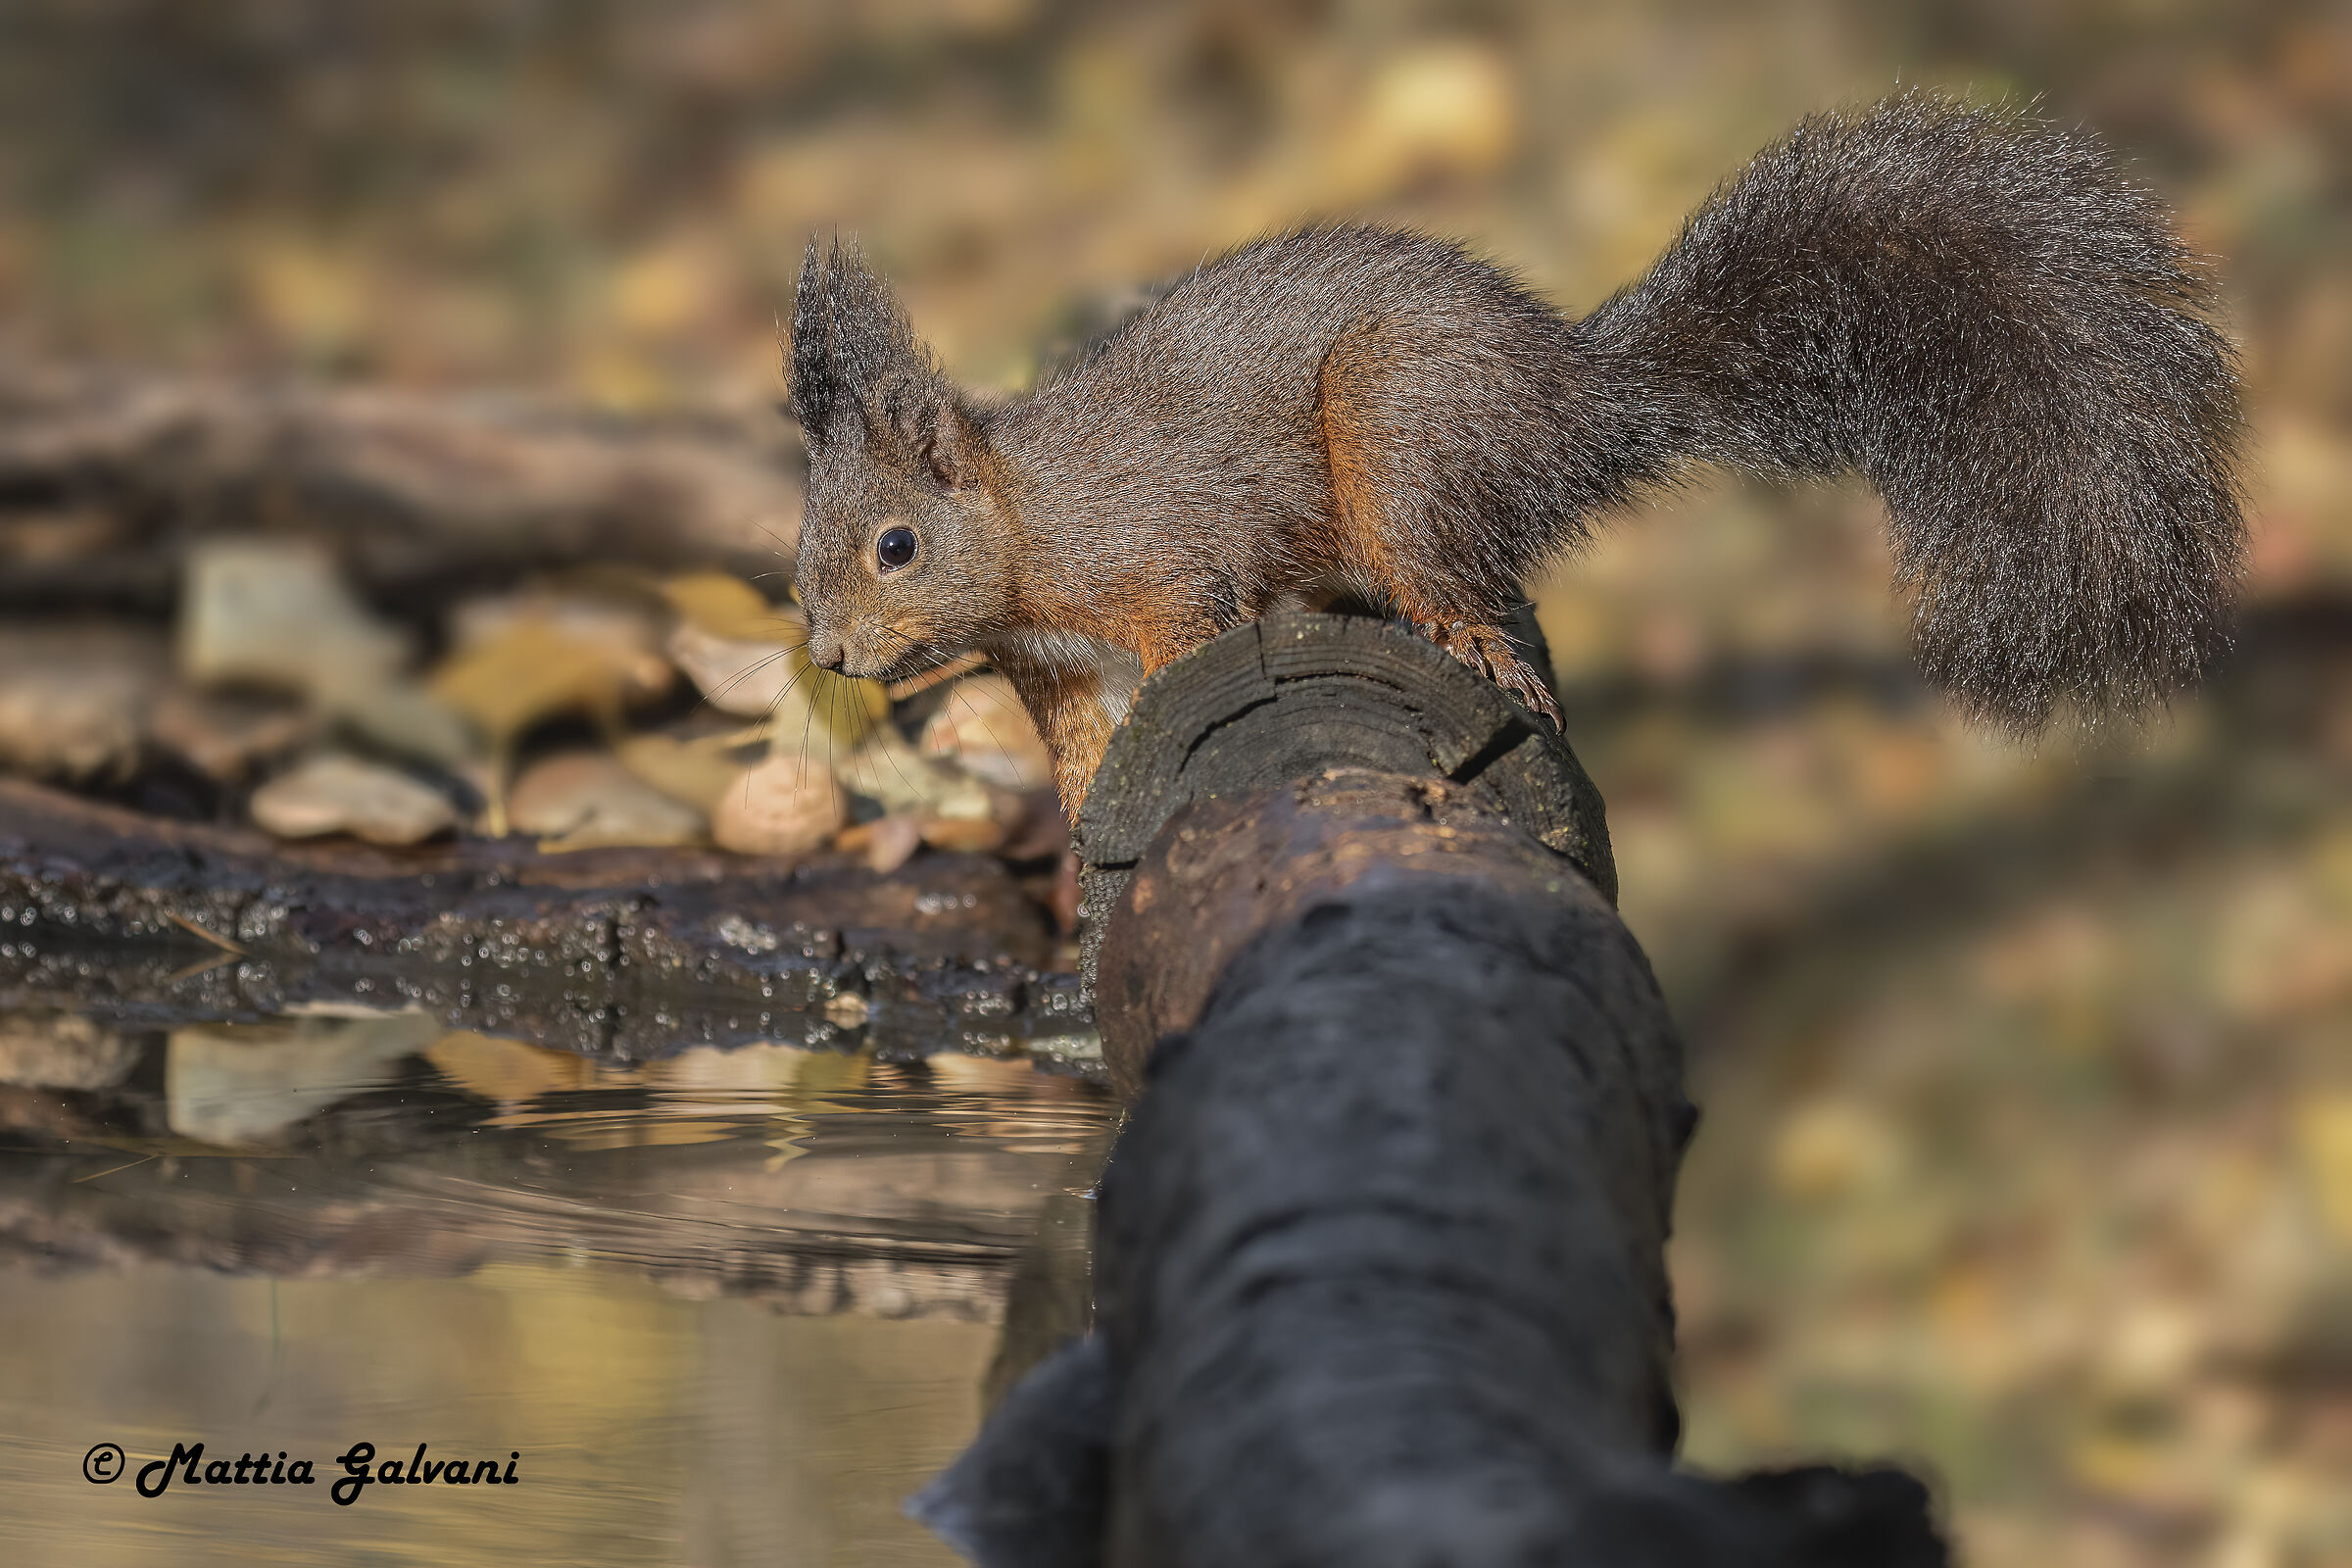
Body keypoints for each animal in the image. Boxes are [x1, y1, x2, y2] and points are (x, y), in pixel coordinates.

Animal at [785, 91, 2245, 817]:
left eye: (896, 546)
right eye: (800, 559)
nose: (831, 654)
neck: (1030, 527)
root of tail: (1576, 397)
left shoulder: (1160, 558)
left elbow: (1188, 634)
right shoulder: (1055, 675)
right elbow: (1089, 758)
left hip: (1402, 428)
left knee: (1449, 574)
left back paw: (1471, 640)